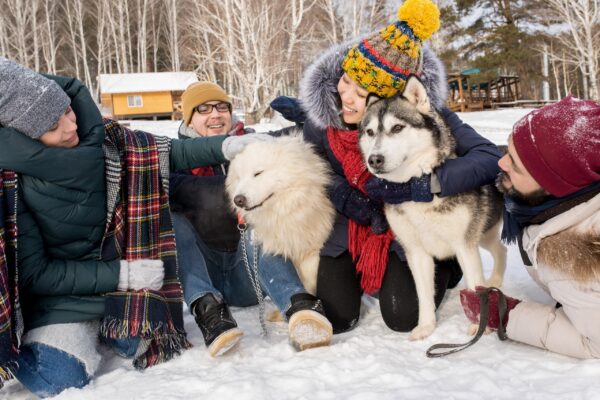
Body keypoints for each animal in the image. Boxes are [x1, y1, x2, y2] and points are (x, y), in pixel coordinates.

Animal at [360, 76, 506, 340]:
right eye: (370, 132)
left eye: (397, 128)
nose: (374, 159)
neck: (414, 188)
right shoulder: (416, 252)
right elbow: (423, 295)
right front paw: (426, 327)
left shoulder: (464, 246)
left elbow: (473, 285)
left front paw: (479, 326)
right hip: (483, 235)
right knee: (501, 249)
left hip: (479, 233)